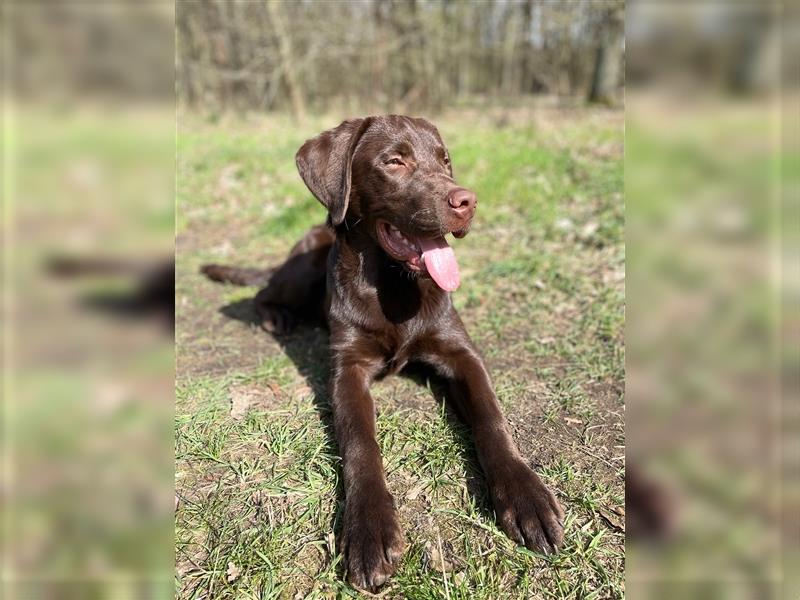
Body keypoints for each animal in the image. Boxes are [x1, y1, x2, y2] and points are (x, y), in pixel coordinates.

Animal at [203, 115, 560, 588]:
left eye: (445, 160)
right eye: (394, 161)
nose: (468, 202)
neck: (394, 286)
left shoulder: (461, 353)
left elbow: (492, 418)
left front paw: (526, 496)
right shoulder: (347, 368)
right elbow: (360, 442)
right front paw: (368, 528)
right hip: (301, 270)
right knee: (263, 291)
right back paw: (275, 316)